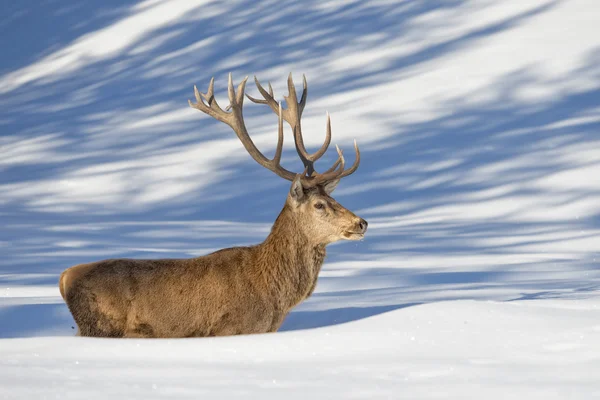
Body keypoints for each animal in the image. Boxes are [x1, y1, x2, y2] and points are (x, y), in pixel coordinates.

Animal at [59, 72, 366, 338]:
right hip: (101, 326)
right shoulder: (229, 328)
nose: (361, 222)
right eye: (319, 205)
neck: (272, 295)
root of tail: (64, 278)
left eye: (334, 198)